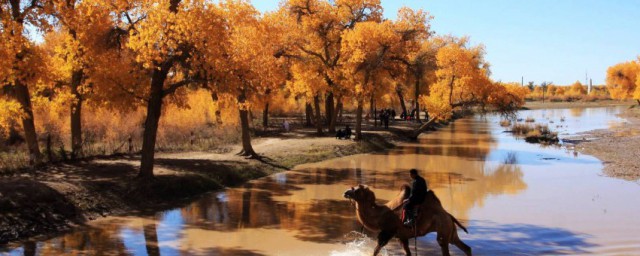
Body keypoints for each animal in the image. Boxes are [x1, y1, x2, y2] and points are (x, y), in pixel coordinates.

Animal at [342, 184, 472, 256]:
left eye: (356, 189)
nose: (345, 192)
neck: (380, 215)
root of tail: (449, 215)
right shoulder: (401, 237)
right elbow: (408, 253)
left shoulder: (388, 232)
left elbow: (375, 251)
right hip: (450, 231)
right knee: (466, 247)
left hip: (443, 229)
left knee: (444, 247)